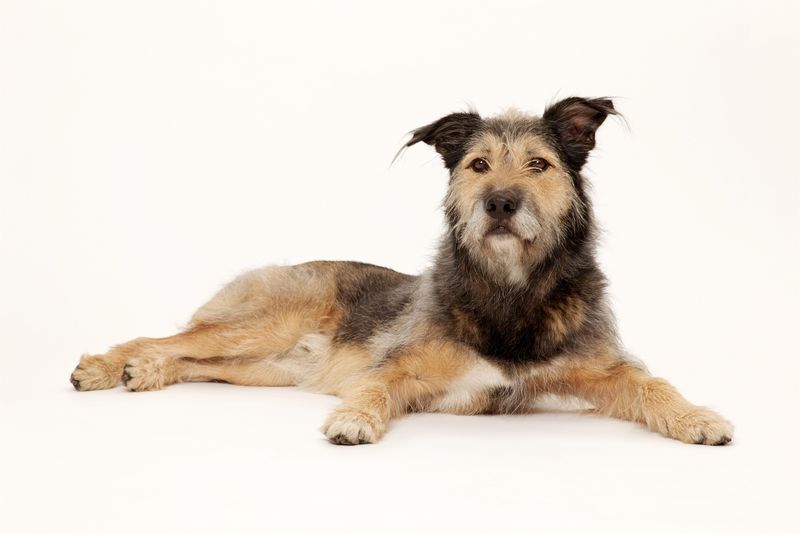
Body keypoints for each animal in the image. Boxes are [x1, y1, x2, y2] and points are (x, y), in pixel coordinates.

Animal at [70, 97, 733, 446]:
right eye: (477, 164)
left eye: (540, 165)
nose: (499, 202)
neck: (508, 290)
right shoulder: (404, 366)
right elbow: (377, 385)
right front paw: (354, 419)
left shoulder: (603, 368)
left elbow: (653, 384)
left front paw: (698, 417)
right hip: (260, 325)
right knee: (163, 337)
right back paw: (108, 366)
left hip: (259, 369)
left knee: (189, 357)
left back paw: (145, 372)